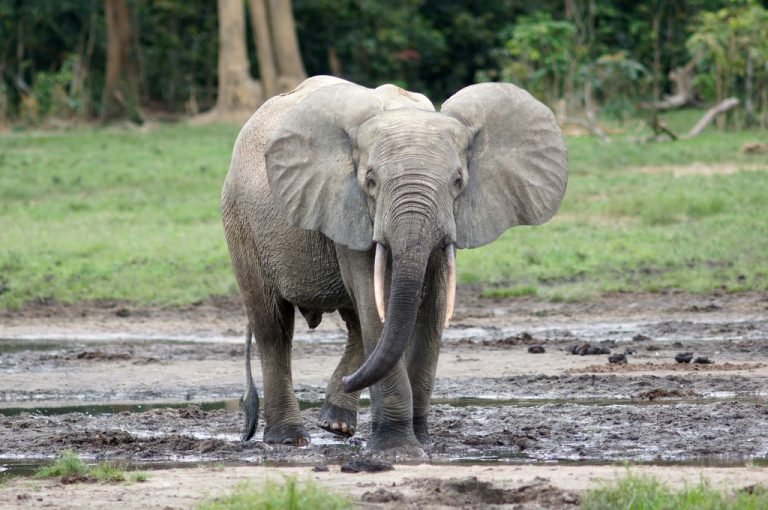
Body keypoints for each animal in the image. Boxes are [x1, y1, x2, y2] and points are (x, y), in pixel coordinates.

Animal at [219, 74, 568, 450]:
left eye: (458, 181)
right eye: (371, 181)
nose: (351, 380)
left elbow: (431, 309)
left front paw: (422, 441)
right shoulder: (349, 208)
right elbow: (379, 307)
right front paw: (398, 449)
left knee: (356, 324)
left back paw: (336, 424)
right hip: (241, 223)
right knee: (274, 327)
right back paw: (290, 438)